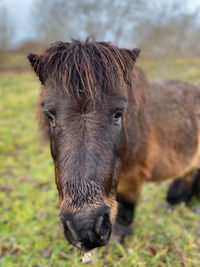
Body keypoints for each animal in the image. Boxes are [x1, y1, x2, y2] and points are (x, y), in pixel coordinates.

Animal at [27, 40, 200, 252]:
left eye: (118, 113)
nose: (84, 228)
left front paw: (120, 234)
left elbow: (126, 201)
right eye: (50, 116)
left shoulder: (133, 174)